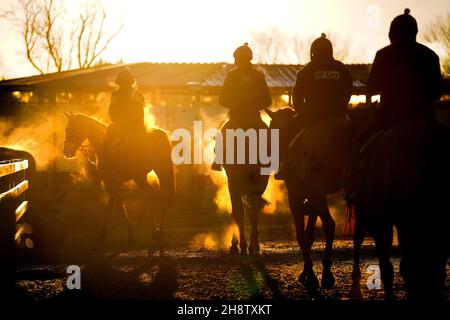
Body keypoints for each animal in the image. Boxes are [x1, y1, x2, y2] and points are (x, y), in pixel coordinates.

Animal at [62, 114, 175, 254]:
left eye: (69, 129)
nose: (66, 152)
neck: (103, 143)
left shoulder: (110, 182)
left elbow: (118, 208)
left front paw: (129, 238)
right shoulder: (114, 183)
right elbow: (111, 207)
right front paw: (104, 236)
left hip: (144, 176)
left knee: (156, 196)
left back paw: (156, 233)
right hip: (151, 174)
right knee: (158, 197)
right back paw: (159, 233)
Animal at [268, 107, 352, 290]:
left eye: (272, 127)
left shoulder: (296, 197)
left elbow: (301, 234)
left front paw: (309, 274)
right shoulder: (314, 198)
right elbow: (309, 234)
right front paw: (306, 272)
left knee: (329, 224)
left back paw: (326, 273)